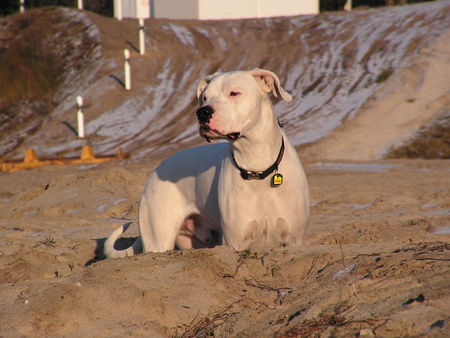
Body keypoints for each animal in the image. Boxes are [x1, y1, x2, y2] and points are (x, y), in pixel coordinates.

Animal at [104, 68, 310, 258]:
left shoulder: (295, 240)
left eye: (234, 93)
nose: (202, 112)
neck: (256, 165)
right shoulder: (234, 241)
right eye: (204, 97)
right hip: (158, 239)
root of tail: (156, 171)